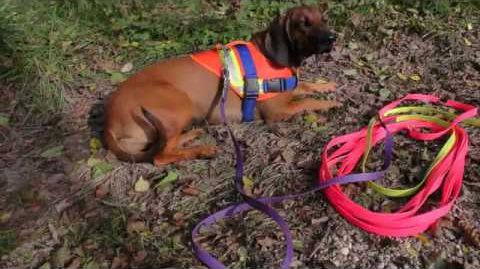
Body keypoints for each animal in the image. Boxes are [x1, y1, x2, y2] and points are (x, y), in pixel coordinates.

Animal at [103, 4, 340, 165]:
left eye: (324, 19)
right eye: (304, 23)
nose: (332, 38)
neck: (269, 53)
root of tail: (109, 123)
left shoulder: (289, 90)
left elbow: (306, 86)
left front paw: (326, 85)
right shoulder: (278, 110)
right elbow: (308, 101)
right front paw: (332, 104)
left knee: (168, 143)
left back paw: (191, 136)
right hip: (178, 102)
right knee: (161, 156)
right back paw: (201, 150)